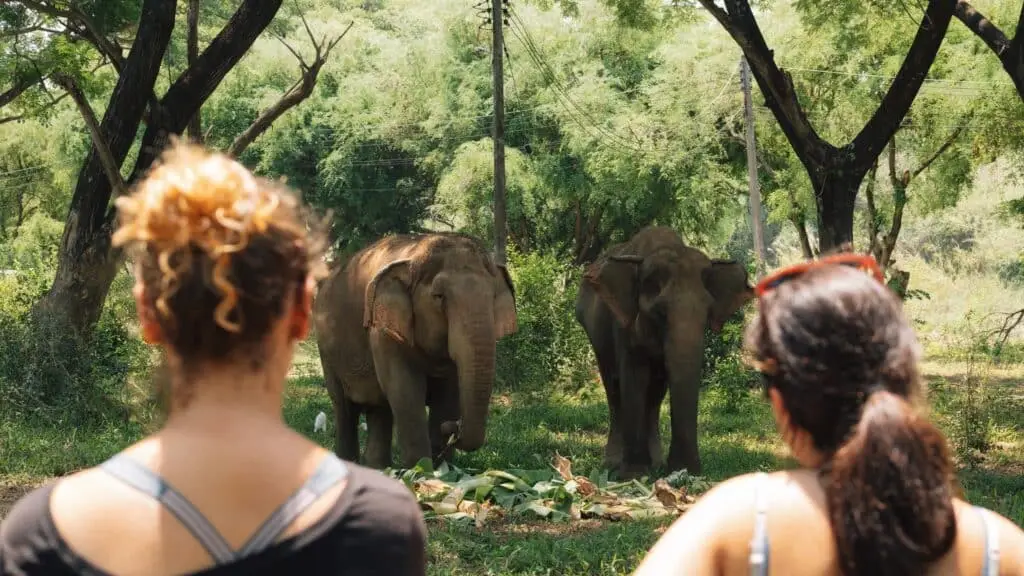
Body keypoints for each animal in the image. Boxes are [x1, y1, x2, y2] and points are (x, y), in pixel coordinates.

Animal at [313, 232, 517, 469]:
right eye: (439, 296)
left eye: (492, 297)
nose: (452, 428)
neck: (415, 255)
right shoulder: (382, 330)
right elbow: (405, 391)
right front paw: (422, 471)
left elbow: (449, 394)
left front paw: (442, 470)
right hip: (327, 351)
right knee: (345, 408)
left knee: (379, 409)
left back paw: (378, 467)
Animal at [574, 226, 753, 480]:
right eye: (659, 312)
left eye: (708, 313)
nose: (688, 472)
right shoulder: (623, 324)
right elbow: (634, 377)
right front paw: (634, 474)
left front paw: (668, 471)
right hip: (595, 333)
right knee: (613, 386)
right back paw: (612, 465)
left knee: (655, 395)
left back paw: (655, 463)